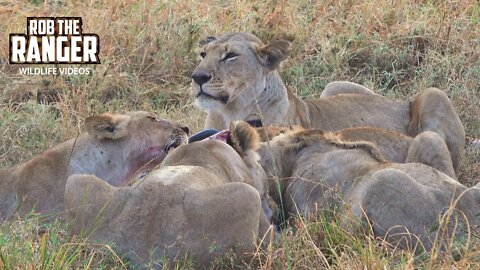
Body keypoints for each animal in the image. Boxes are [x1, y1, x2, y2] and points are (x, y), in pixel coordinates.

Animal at [191, 31, 464, 171]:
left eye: (230, 56)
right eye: (203, 54)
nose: (198, 76)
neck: (229, 110)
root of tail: (400, 101)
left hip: (433, 94)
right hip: (334, 86)